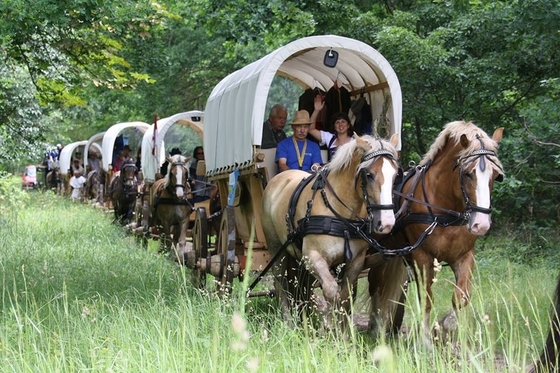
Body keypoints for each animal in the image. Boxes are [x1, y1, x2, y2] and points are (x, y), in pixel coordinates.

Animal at [260, 134, 400, 332]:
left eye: (395, 175)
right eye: (369, 174)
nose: (387, 223)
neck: (340, 213)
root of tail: (278, 179)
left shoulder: (355, 261)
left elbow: (345, 296)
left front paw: (342, 333)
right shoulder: (313, 256)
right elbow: (332, 291)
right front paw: (327, 326)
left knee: (303, 287)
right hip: (276, 250)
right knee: (281, 284)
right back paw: (289, 323)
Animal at [368, 121, 504, 346]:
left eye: (495, 175)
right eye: (468, 173)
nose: (481, 225)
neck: (444, 210)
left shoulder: (464, 256)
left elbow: (461, 297)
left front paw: (448, 327)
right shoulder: (422, 257)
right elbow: (426, 298)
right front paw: (425, 341)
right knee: (375, 285)